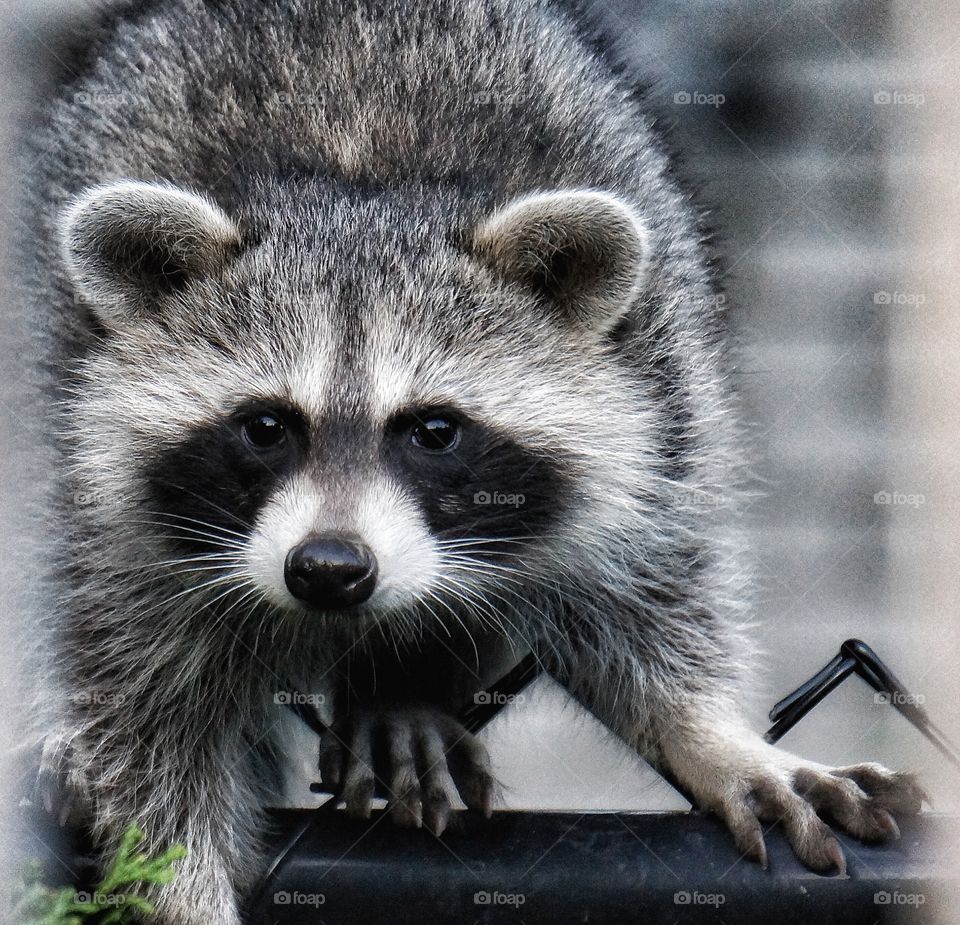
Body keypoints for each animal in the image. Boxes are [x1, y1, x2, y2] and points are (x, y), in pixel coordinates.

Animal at [18, 0, 924, 920]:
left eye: (434, 430)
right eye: (265, 426)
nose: (329, 567)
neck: (355, 192)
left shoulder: (654, 398)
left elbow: (650, 593)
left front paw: (711, 734)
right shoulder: (119, 519)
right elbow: (147, 729)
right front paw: (182, 891)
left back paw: (402, 694)